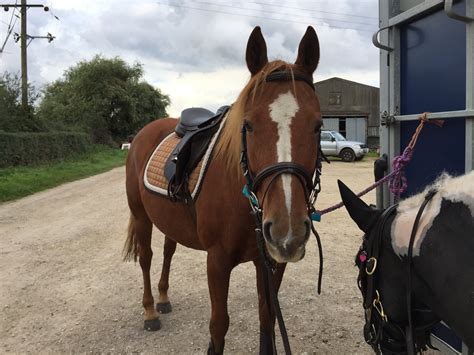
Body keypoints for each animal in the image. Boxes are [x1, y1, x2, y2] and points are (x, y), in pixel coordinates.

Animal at [123, 26, 322, 354]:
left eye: (318, 125)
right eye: (248, 125)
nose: (287, 231)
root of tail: (141, 134)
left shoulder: (271, 262)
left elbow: (267, 318)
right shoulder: (216, 262)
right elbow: (218, 327)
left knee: (167, 251)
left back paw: (163, 299)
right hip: (141, 216)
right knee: (147, 257)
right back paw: (150, 311)